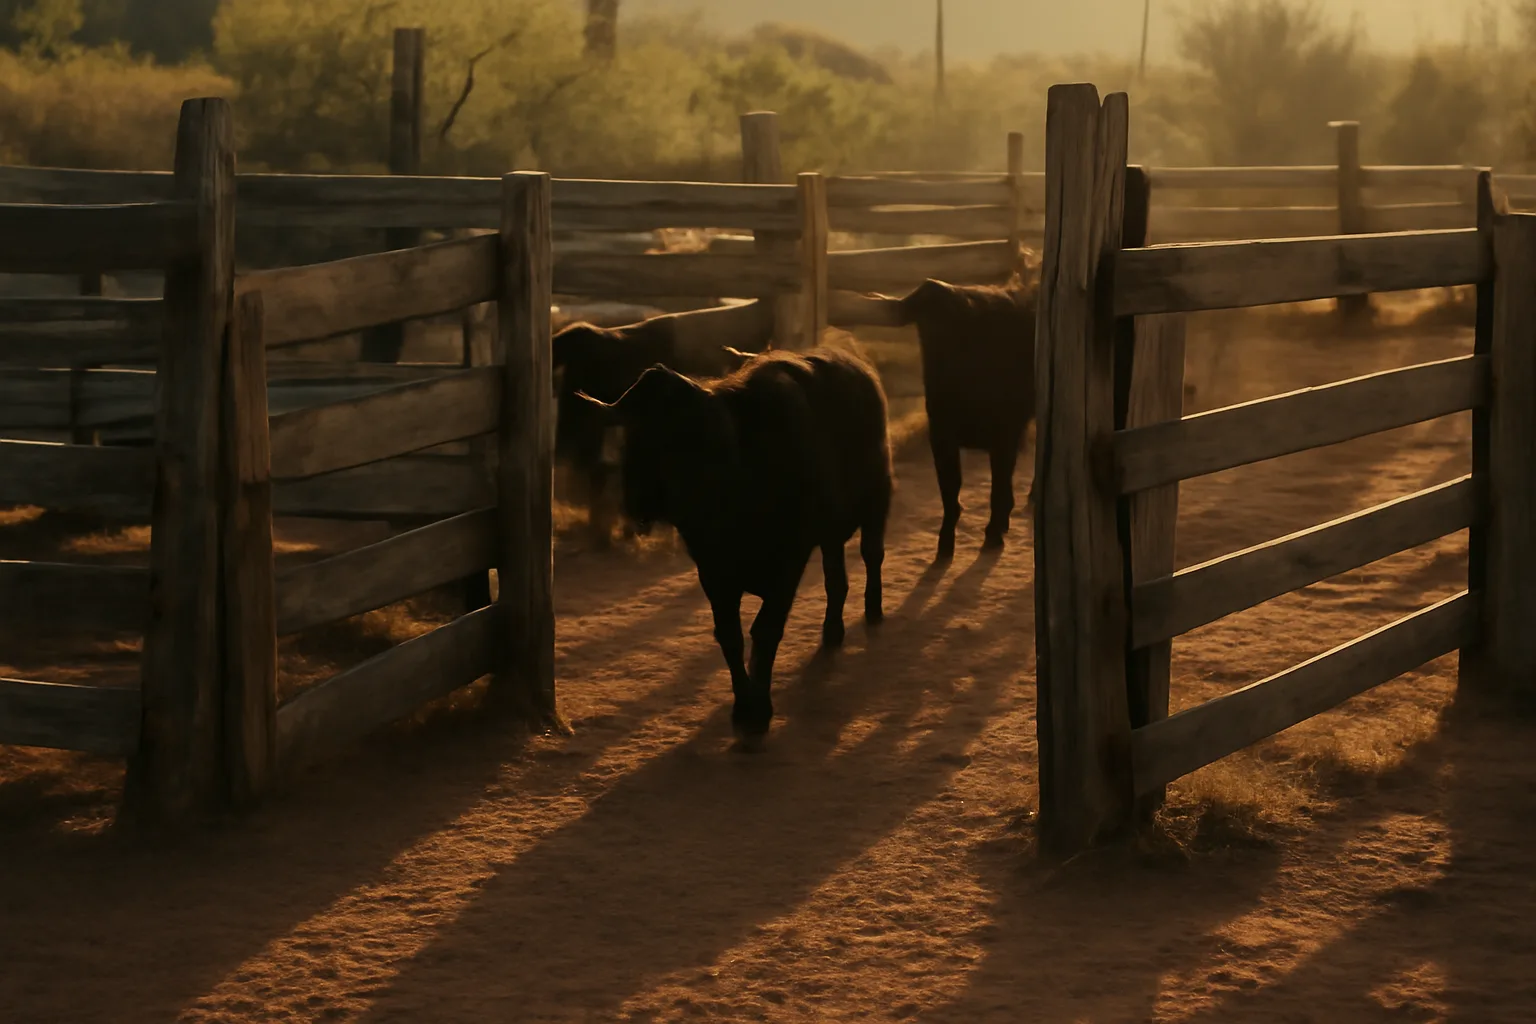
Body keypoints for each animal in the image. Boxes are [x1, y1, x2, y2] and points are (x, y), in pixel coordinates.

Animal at [576, 346, 893, 742]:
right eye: (631, 435)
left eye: (680, 441)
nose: (636, 503)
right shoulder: (713, 571)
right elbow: (730, 635)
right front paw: (743, 705)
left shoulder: (788, 562)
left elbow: (765, 630)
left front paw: (760, 708)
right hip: (831, 530)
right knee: (836, 577)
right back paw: (833, 630)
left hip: (878, 498)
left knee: (871, 555)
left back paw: (873, 611)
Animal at [897, 276, 1038, 561]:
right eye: (924, 326)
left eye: (952, 323)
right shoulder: (941, 436)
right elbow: (950, 489)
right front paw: (944, 545)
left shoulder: (1005, 436)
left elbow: (998, 486)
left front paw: (994, 534)